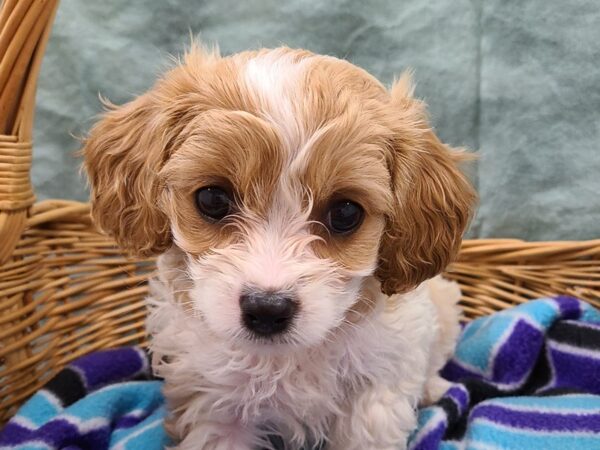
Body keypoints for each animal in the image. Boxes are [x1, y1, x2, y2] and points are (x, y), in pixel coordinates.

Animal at [83, 43, 474, 450]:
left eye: (345, 212)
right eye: (212, 199)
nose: (267, 309)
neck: (285, 360)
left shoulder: (377, 393)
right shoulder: (214, 406)